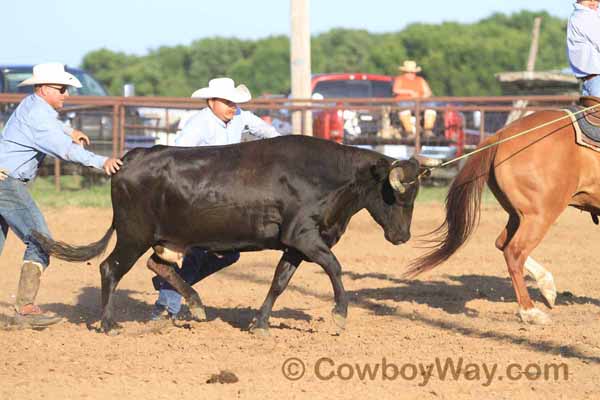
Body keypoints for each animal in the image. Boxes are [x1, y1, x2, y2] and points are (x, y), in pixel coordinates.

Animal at [408, 105, 600, 324]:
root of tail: (500, 136)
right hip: (539, 215)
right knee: (514, 252)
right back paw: (530, 312)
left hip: (518, 214)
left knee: (502, 243)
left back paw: (547, 289)